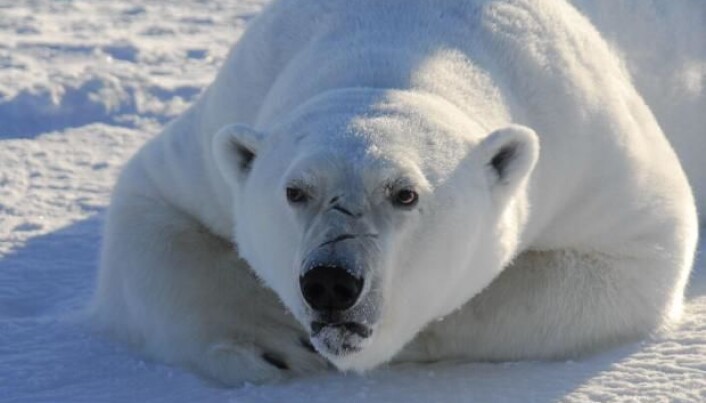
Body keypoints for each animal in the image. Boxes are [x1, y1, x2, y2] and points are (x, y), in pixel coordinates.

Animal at [92, 0, 700, 386]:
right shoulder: (231, 111)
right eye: (295, 191)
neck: (399, 42)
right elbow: (154, 204)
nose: (331, 282)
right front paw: (270, 345)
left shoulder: (585, 142)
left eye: (405, 193)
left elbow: (640, 251)